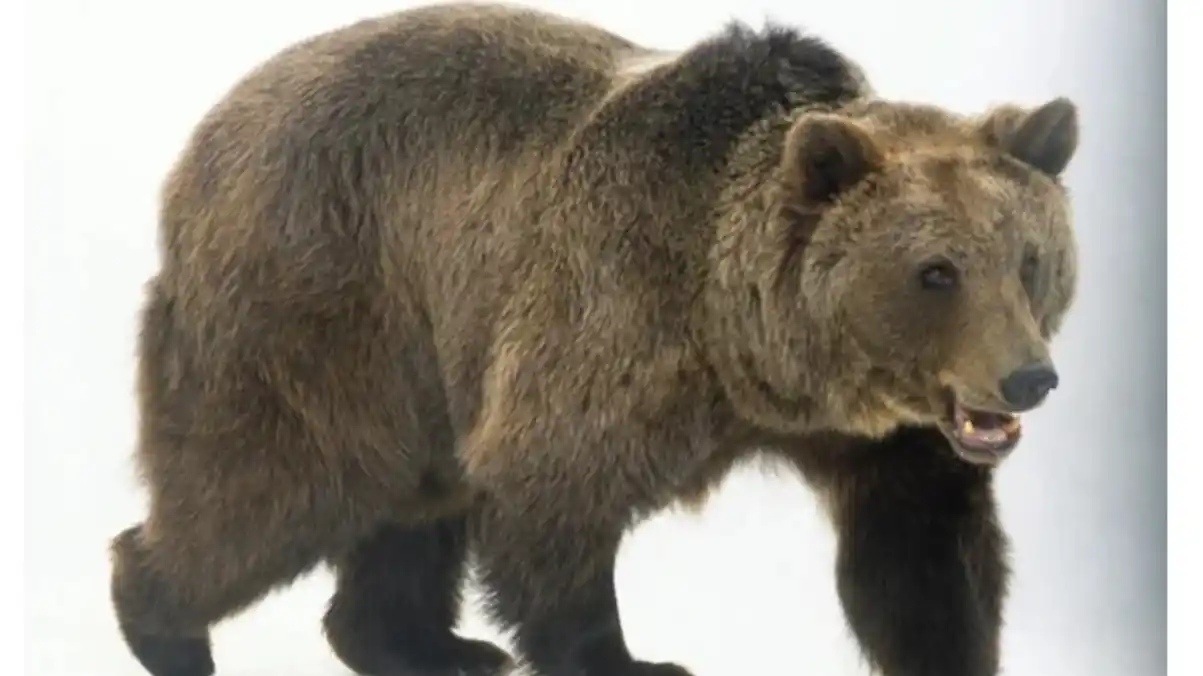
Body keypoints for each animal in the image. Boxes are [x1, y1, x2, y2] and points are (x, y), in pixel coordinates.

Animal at [107, 3, 1081, 676]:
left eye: (1030, 260)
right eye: (935, 272)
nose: (1027, 379)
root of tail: (211, 132)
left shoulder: (887, 435)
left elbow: (923, 554)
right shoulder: (607, 318)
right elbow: (551, 493)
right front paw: (635, 661)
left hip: (421, 357)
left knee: (413, 500)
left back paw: (428, 648)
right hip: (324, 298)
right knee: (274, 484)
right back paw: (164, 623)